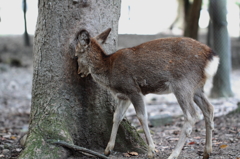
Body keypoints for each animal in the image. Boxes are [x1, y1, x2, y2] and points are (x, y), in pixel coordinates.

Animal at [74, 28, 219, 159]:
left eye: (76, 55)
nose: (79, 73)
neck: (110, 73)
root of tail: (212, 57)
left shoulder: (133, 89)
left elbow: (141, 117)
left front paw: (151, 151)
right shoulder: (124, 96)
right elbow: (117, 116)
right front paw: (107, 149)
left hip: (183, 84)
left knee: (191, 116)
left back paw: (173, 154)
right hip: (197, 88)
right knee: (209, 108)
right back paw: (207, 152)